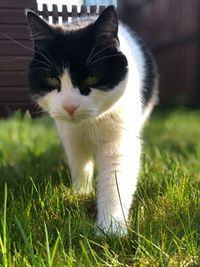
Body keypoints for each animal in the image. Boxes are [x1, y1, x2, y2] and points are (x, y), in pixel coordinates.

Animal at [26, 5, 158, 237]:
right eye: (52, 79)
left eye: (92, 78)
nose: (70, 106)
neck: (88, 124)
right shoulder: (70, 135)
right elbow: (79, 162)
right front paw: (81, 192)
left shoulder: (121, 138)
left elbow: (116, 177)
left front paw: (111, 229)